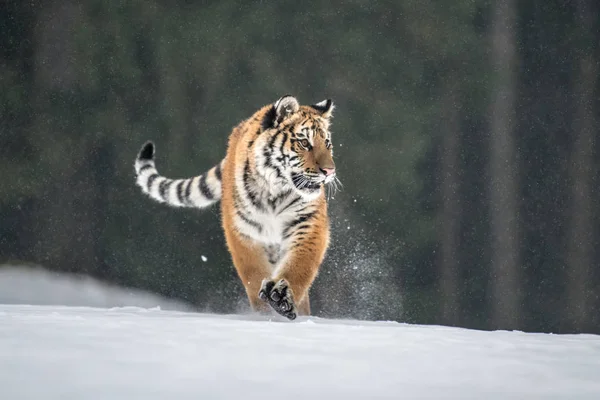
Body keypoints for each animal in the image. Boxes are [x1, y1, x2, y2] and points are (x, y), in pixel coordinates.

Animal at [134, 95, 338, 320]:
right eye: (304, 143)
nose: (330, 171)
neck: (275, 191)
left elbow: (300, 265)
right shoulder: (243, 231)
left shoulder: (308, 224)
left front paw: (283, 297)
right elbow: (253, 272)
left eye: (327, 143)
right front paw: (264, 312)